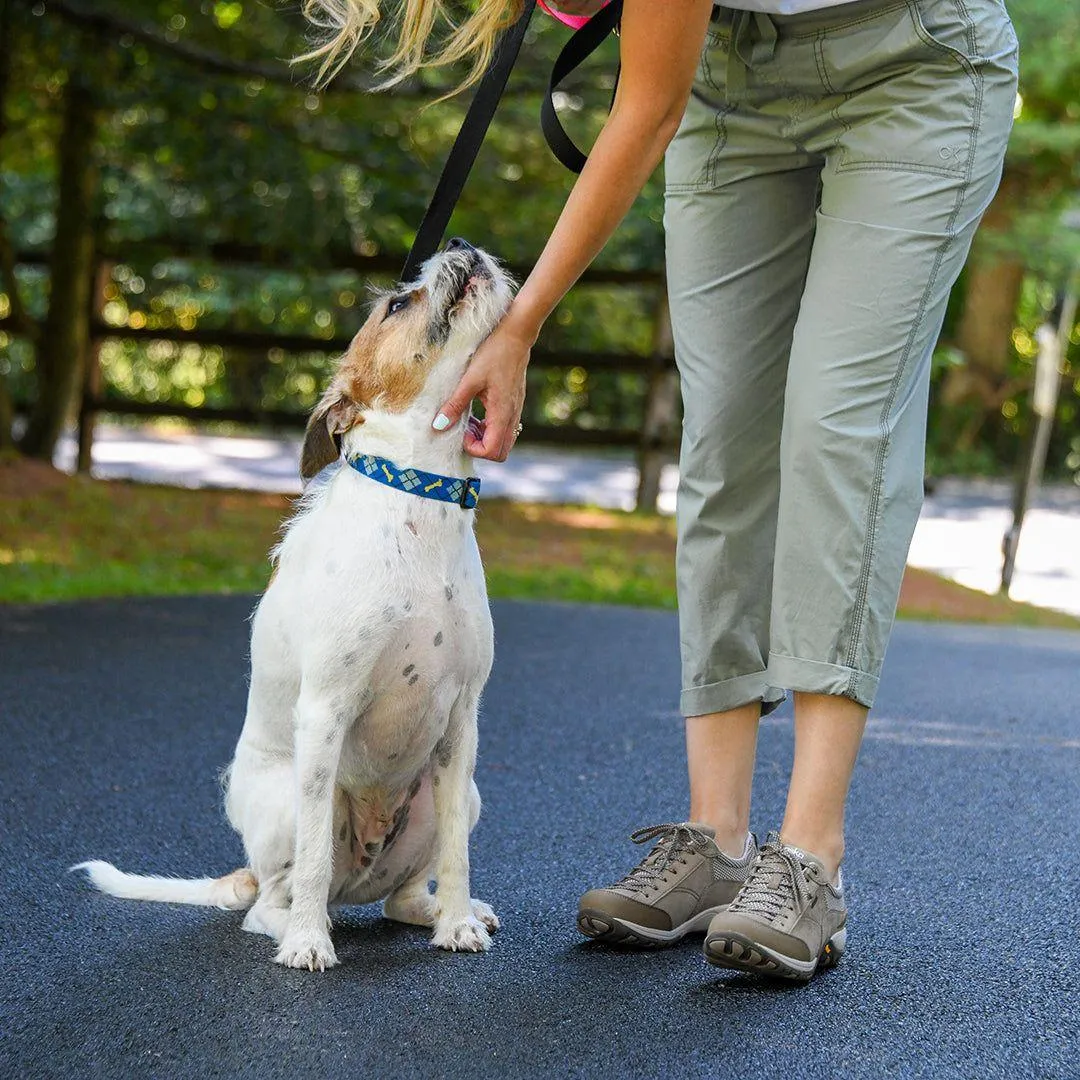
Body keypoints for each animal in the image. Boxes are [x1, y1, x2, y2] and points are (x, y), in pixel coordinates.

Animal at [75, 243, 514, 972]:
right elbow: (310, 860)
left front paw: (456, 923)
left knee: (400, 898)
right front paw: (309, 943)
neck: (418, 500)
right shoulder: (326, 710)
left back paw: (443, 912)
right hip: (297, 797)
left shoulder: (462, 723)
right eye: (399, 302)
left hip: (456, 792)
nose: (461, 246)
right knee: (275, 897)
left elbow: (457, 851)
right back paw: (302, 925)